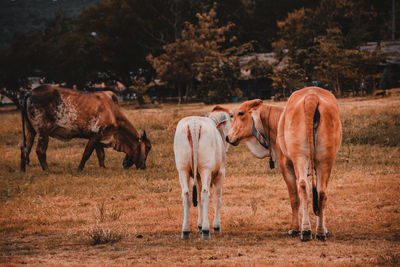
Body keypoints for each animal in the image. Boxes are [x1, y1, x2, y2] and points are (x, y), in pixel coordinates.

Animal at [20, 85, 152, 172]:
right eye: (148, 147)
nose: (143, 166)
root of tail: (30, 92)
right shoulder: (95, 134)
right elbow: (87, 153)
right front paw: (79, 169)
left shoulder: (100, 138)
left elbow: (101, 154)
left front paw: (103, 167)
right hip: (43, 132)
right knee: (40, 150)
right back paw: (47, 170)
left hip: (30, 130)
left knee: (24, 148)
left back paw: (22, 170)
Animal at [173, 105, 233, 240]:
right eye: (232, 116)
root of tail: (194, 124)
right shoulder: (220, 174)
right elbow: (217, 199)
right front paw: (215, 226)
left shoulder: (199, 177)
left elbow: (199, 201)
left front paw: (199, 226)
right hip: (206, 170)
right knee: (205, 194)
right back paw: (206, 230)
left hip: (182, 170)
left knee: (186, 194)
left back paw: (186, 230)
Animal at [227, 88, 342, 243]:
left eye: (240, 113)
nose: (228, 137)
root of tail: (311, 97)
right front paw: (324, 229)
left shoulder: (285, 165)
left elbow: (294, 199)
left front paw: (295, 229)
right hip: (326, 160)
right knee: (322, 192)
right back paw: (320, 233)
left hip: (299, 158)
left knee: (303, 188)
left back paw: (305, 231)